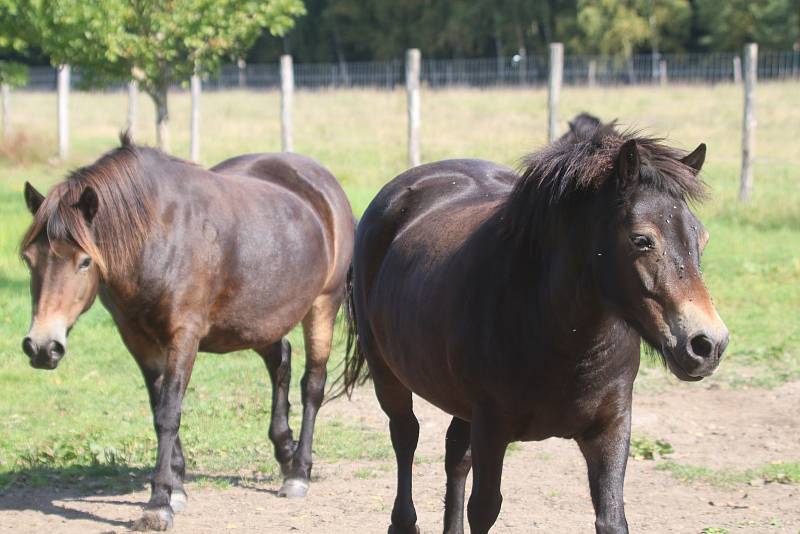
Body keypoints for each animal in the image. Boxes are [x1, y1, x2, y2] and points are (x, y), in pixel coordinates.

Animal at [21, 134, 354, 532]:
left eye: (85, 261)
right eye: (29, 259)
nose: (42, 347)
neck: (155, 235)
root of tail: (323, 183)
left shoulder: (184, 335)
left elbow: (169, 412)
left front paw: (159, 502)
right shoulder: (137, 339)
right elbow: (158, 407)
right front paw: (176, 486)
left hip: (322, 305)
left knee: (313, 385)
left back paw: (299, 472)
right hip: (258, 317)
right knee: (280, 362)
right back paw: (284, 450)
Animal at [340, 116, 728, 534]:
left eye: (702, 238)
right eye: (642, 239)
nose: (707, 344)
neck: (559, 335)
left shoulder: (611, 426)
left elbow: (612, 518)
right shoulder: (492, 428)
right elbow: (484, 508)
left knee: (454, 455)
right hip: (387, 374)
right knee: (405, 436)